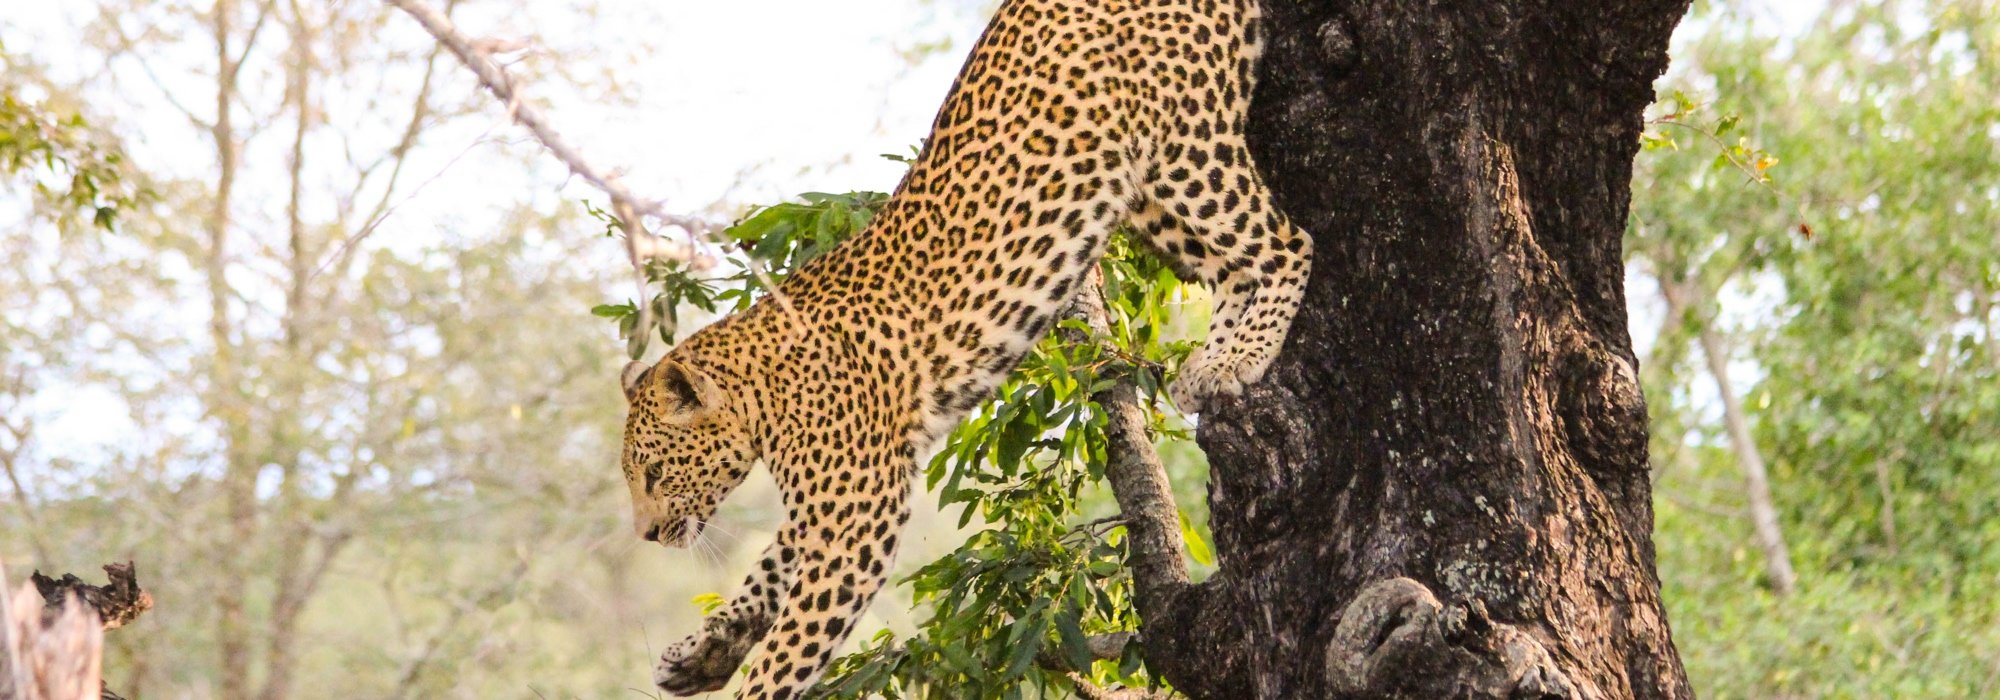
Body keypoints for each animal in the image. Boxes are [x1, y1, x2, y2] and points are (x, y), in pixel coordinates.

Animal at [624, 0, 1312, 696]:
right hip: (1144, 187)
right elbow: (768, 569)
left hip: (1185, 150)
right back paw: (1211, 363)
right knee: (1231, 271)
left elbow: (789, 641)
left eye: (654, 473)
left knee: (1287, 241)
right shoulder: (841, 494)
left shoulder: (853, 511)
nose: (648, 535)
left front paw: (749, 675)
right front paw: (701, 652)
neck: (761, 395)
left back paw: (1242, 357)